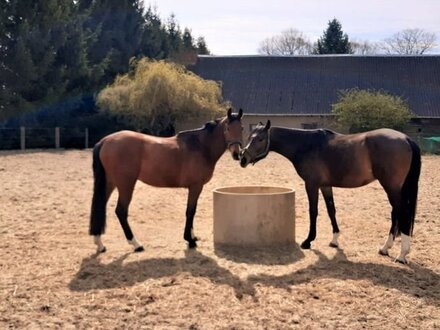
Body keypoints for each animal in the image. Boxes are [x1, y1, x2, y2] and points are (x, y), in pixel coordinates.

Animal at [89, 108, 244, 253]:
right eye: (228, 128)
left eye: (241, 128)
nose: (237, 154)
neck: (200, 146)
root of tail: (105, 141)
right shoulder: (195, 186)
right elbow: (190, 211)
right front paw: (190, 240)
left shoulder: (194, 187)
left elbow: (191, 210)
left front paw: (192, 236)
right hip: (125, 184)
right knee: (121, 211)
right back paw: (136, 244)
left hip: (110, 183)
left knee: (101, 206)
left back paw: (100, 244)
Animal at [239, 120, 422, 262]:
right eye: (249, 137)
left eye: (261, 139)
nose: (243, 159)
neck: (306, 145)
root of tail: (406, 138)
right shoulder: (325, 185)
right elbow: (331, 210)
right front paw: (334, 239)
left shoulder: (311, 184)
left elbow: (313, 211)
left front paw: (308, 241)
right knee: (396, 213)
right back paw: (386, 248)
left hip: (391, 187)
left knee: (401, 213)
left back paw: (401, 254)